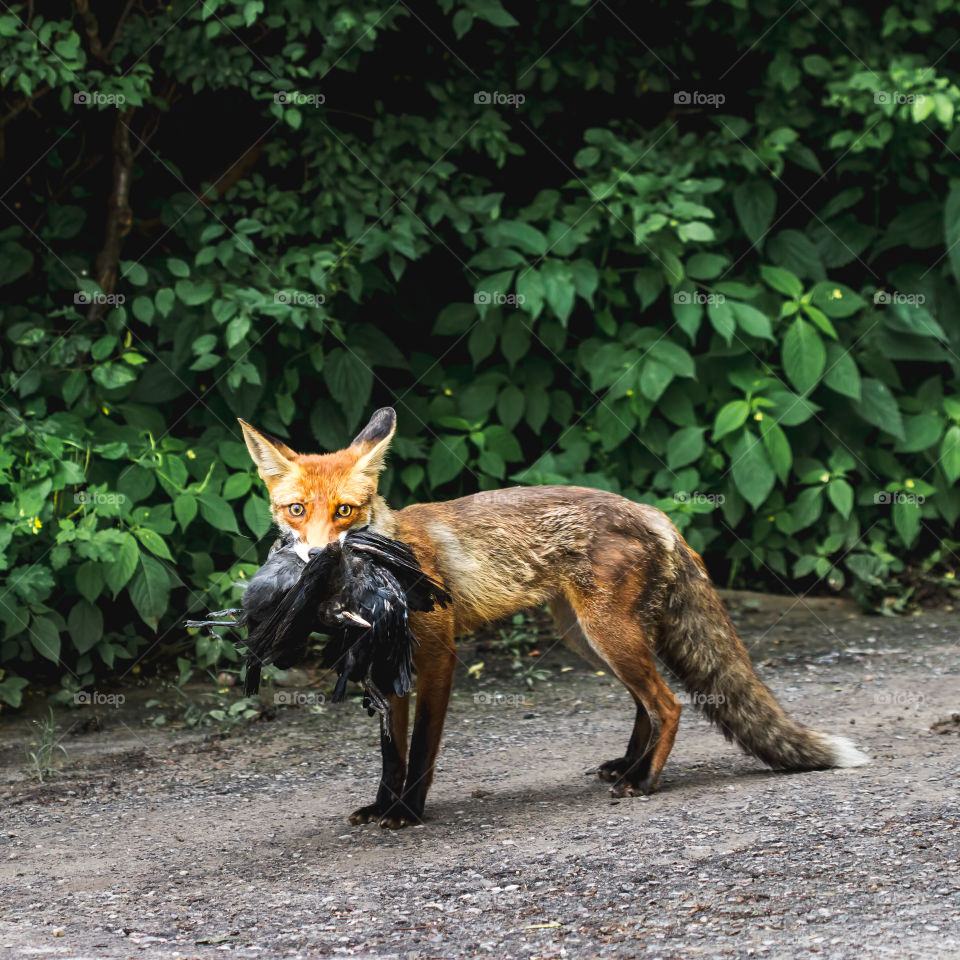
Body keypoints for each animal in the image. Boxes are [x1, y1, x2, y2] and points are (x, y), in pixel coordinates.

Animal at [238, 407, 868, 829]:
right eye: (297, 510)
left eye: (346, 511)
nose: (319, 557)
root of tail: (653, 512)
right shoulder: (388, 663)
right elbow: (390, 753)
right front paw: (382, 806)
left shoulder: (440, 657)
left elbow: (420, 750)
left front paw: (409, 812)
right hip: (586, 639)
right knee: (645, 703)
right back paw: (628, 766)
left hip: (607, 635)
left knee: (667, 704)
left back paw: (645, 781)